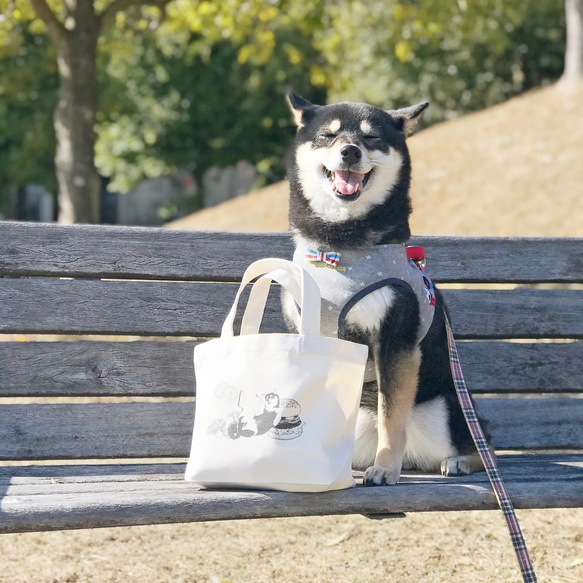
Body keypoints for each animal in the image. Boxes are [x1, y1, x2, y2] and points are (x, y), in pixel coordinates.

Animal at [282, 94, 492, 488]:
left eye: (371, 137)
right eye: (327, 135)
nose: (349, 151)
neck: (339, 249)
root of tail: (416, 458)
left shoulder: (394, 338)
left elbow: (390, 418)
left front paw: (384, 468)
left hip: (446, 409)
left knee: (482, 444)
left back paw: (458, 461)